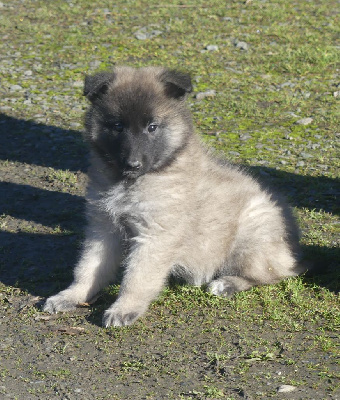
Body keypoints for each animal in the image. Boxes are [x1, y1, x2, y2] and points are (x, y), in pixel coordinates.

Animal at [43, 66, 302, 328]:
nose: (133, 164)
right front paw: (72, 295)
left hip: (251, 233)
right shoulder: (104, 228)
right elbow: (88, 268)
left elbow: (137, 278)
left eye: (152, 127)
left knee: (275, 273)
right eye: (117, 126)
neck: (132, 183)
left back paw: (226, 283)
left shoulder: (155, 236)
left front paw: (124, 307)